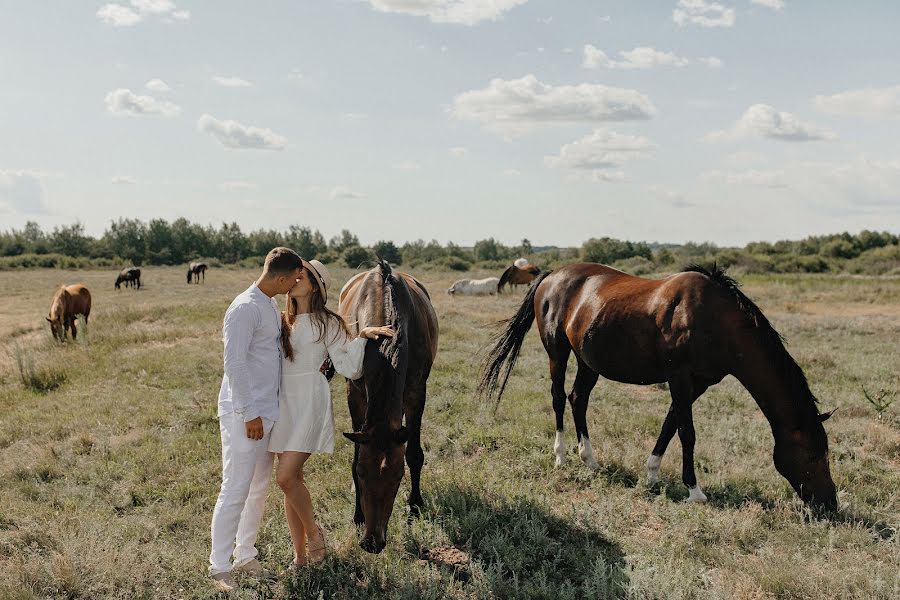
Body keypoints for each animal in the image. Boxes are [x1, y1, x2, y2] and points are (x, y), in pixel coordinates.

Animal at [340, 258, 438, 552]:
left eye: (397, 477)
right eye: (362, 474)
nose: (372, 542)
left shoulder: (417, 391)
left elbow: (414, 453)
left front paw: (415, 507)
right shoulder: (355, 393)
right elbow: (356, 452)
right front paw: (358, 515)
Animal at [482, 262, 840, 510]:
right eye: (812, 455)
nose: (830, 504)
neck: (715, 319)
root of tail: (551, 275)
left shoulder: (699, 383)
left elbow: (670, 425)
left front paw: (652, 474)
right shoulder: (679, 377)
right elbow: (687, 432)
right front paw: (695, 491)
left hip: (588, 362)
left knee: (577, 398)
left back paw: (590, 458)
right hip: (557, 351)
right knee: (558, 397)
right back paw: (560, 456)